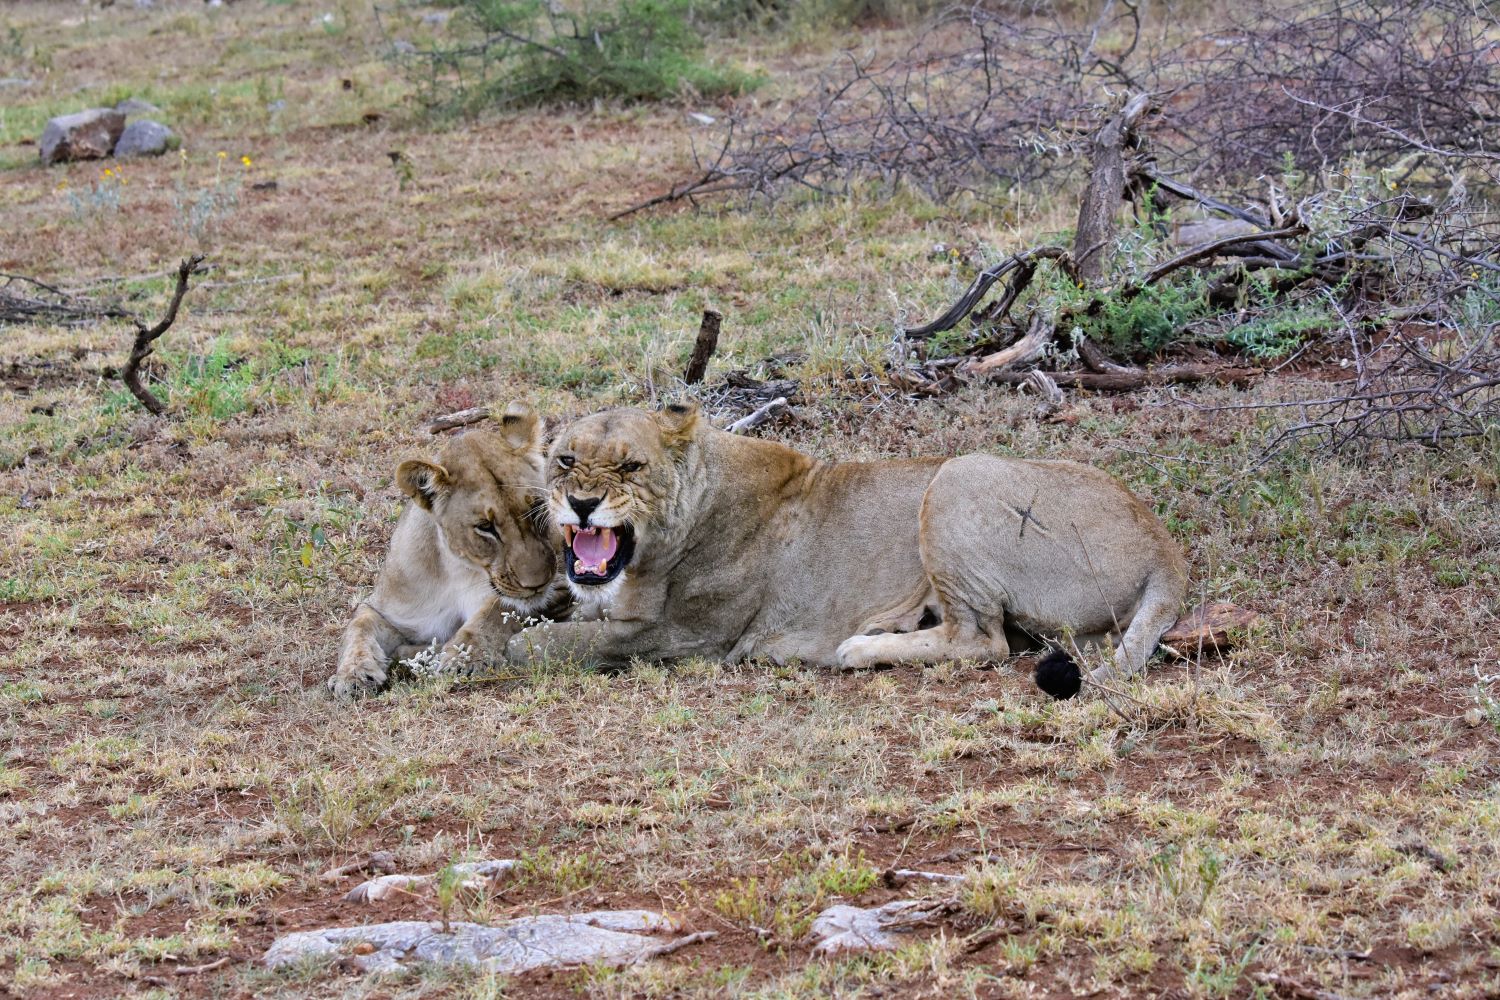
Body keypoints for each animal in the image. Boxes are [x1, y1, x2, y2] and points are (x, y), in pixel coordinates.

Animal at [327, 402, 565, 698]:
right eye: (485, 526)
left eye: (536, 509)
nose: (538, 584)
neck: (457, 567)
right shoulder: (388, 610)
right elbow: (358, 627)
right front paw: (353, 675)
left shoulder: (560, 583)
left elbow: (494, 612)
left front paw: (464, 657)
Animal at [504, 401, 1187, 698]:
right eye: (566, 460)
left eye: (632, 466)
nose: (582, 504)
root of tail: (1165, 548)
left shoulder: (685, 638)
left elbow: (555, 644)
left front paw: (496, 650)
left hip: (957, 476)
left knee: (983, 641)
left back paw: (863, 646)